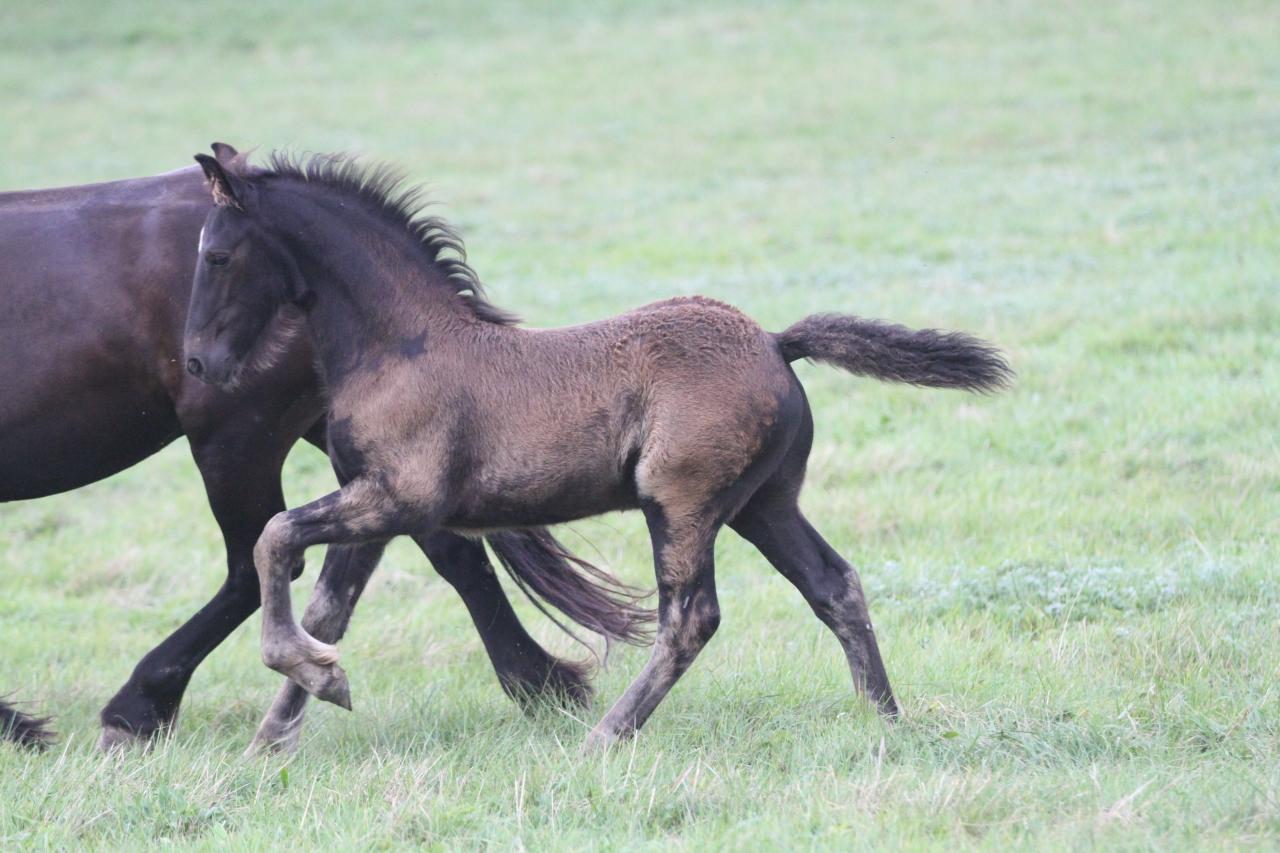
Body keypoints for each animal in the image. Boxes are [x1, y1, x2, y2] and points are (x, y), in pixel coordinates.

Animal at [0, 147, 650, 753]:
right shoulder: (384, 478)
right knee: (419, 556)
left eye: (217, 257)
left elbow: (282, 553)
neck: (405, 339)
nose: (199, 362)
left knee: (254, 565)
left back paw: (140, 708)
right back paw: (537, 684)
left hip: (237, 442)